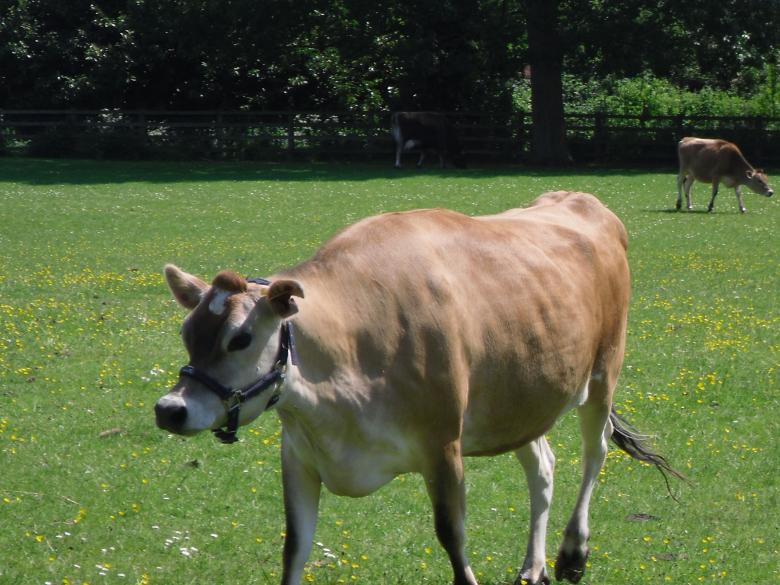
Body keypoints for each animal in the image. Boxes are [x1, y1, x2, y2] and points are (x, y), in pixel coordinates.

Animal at [155, 191, 682, 585]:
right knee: (543, 466)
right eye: (187, 332)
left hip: (603, 371)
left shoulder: (442, 444)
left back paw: (573, 551)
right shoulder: (299, 454)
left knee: (596, 451)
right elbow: (295, 547)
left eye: (240, 338)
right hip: (523, 395)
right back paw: (533, 567)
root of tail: (582, 199)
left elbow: (452, 535)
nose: (169, 408)